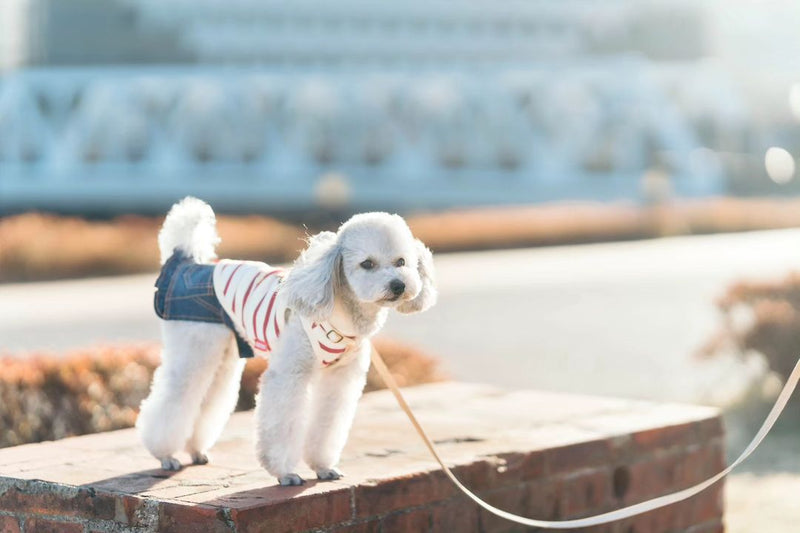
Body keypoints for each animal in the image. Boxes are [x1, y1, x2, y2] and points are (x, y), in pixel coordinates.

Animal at [138, 197, 438, 484]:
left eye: (401, 262)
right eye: (367, 264)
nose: (398, 285)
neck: (341, 313)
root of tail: (184, 262)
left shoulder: (340, 378)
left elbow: (328, 424)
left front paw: (323, 467)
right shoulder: (288, 374)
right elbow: (282, 423)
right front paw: (285, 472)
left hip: (221, 355)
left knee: (208, 397)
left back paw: (195, 450)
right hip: (194, 345)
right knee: (174, 396)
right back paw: (165, 455)